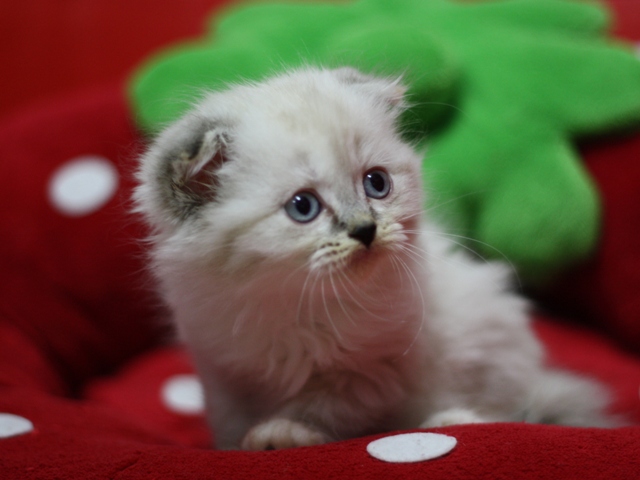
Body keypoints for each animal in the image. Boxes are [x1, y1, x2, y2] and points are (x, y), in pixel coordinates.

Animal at [132, 66, 616, 450]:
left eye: (376, 184)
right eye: (303, 207)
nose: (365, 230)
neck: (291, 303)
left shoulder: (371, 373)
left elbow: (318, 406)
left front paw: (283, 433)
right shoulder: (223, 368)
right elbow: (232, 423)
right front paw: (238, 447)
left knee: (505, 412)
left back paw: (453, 420)